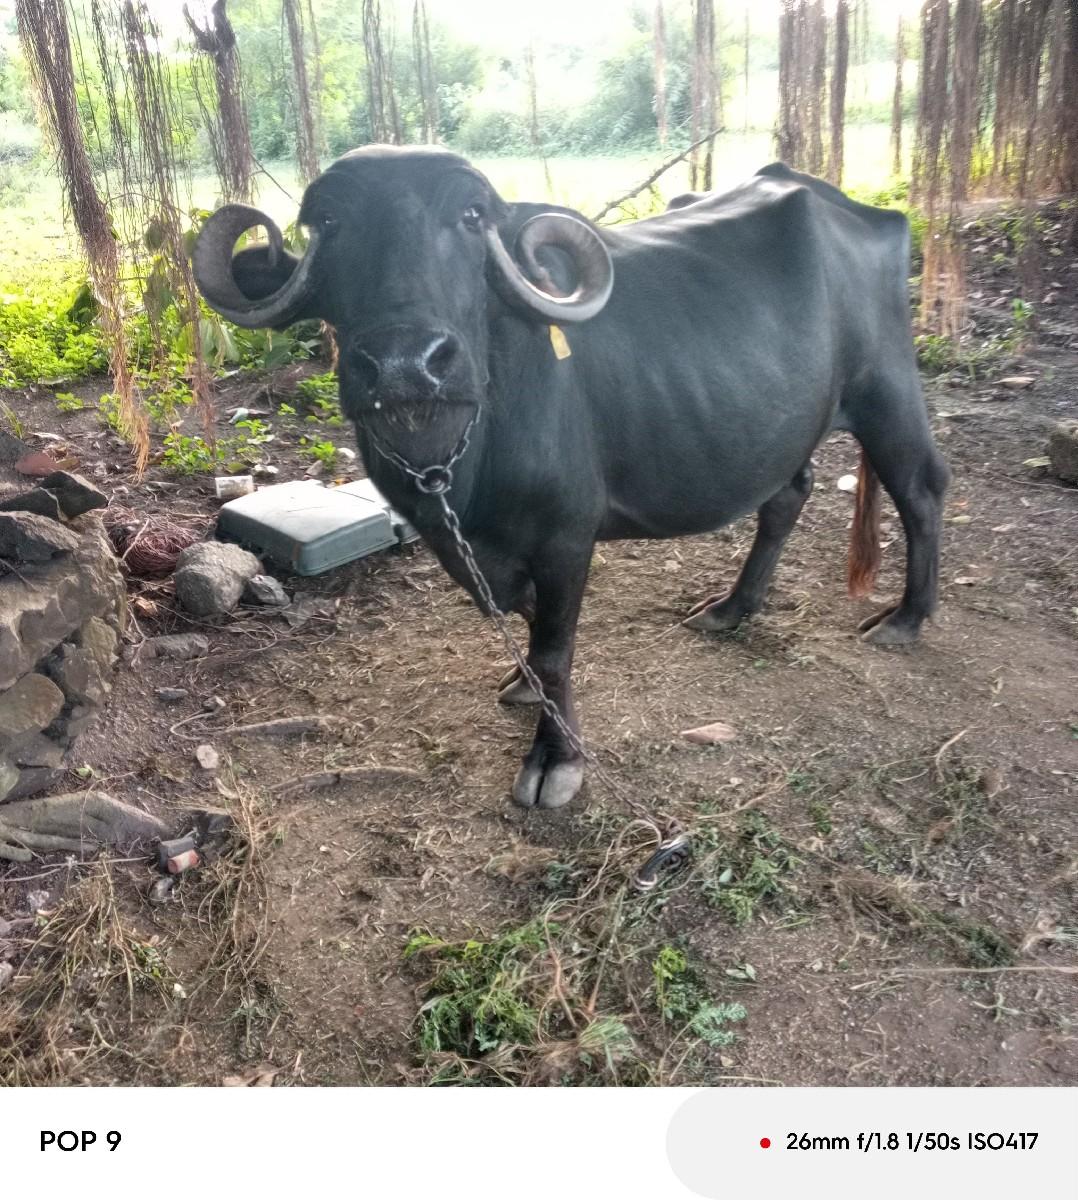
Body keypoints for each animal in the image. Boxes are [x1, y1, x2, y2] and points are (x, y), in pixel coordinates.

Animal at [193, 147, 949, 811]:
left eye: (471, 215)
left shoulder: (565, 538)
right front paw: (523, 682)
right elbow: (530, 628)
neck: (456, 464)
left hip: (887, 391)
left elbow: (556, 648)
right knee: (786, 496)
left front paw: (556, 757)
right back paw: (732, 608)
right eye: (329, 221)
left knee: (921, 491)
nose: (407, 363)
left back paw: (905, 618)